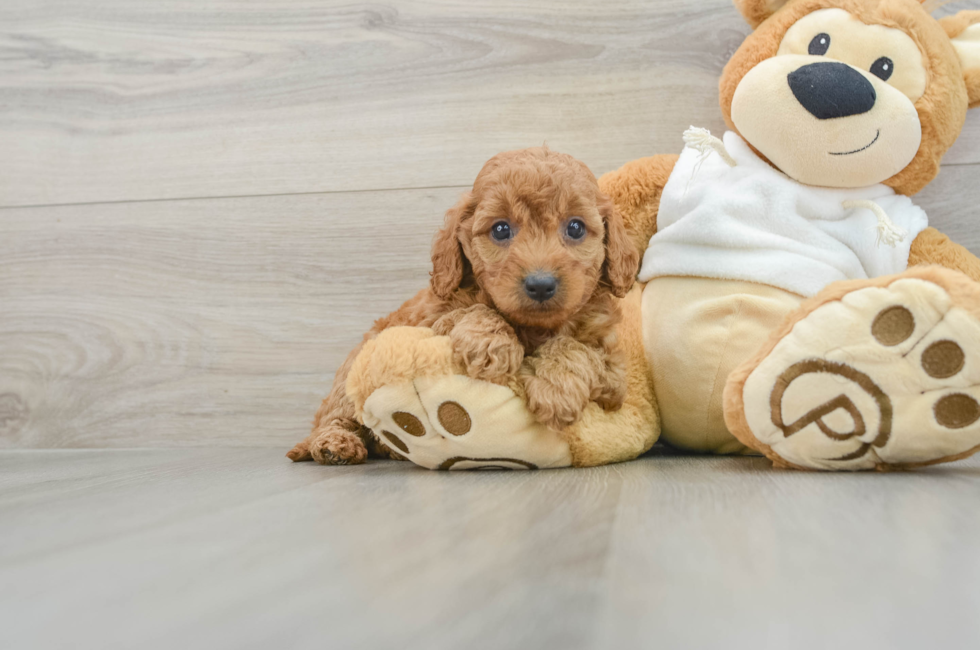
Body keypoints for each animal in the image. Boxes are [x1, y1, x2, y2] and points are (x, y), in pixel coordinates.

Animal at [290, 146, 644, 460]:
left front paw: (556, 388)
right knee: (334, 417)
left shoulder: (613, 374)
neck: (534, 328)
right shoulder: (432, 320)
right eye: (500, 229)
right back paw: (335, 445)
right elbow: (472, 309)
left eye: (575, 227)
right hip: (350, 377)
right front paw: (490, 344)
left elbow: (578, 348)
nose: (541, 284)